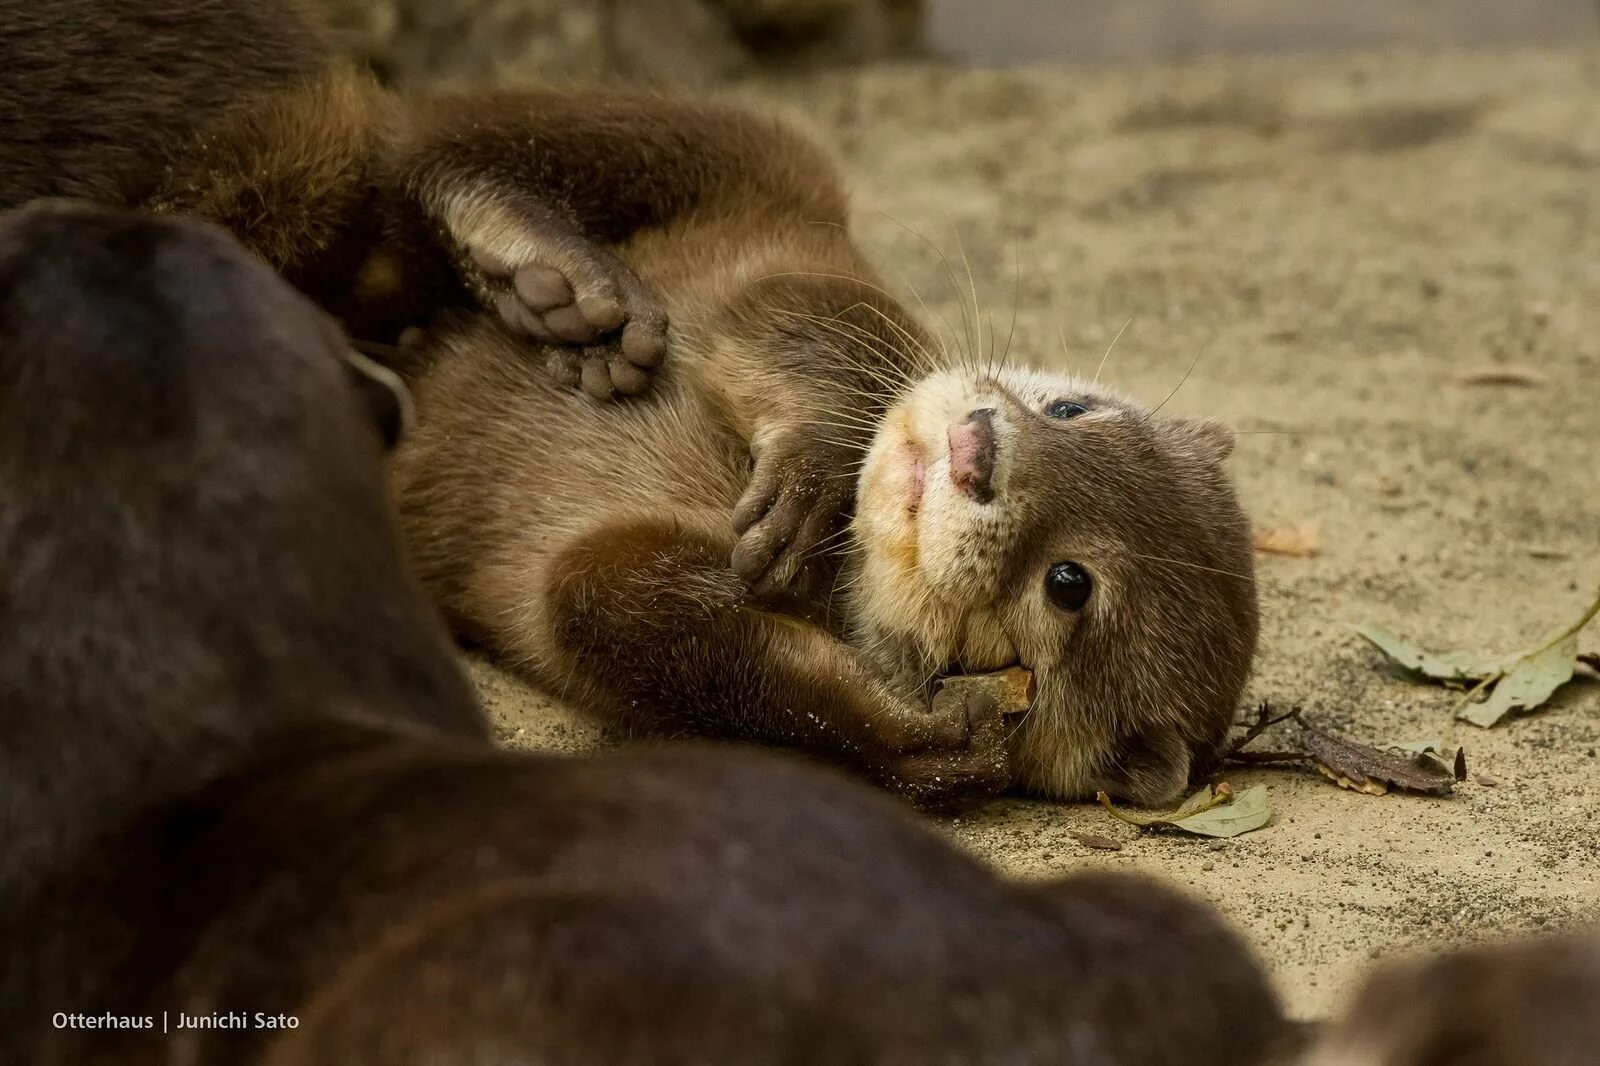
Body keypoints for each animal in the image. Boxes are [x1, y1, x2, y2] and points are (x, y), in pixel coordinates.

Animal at [0, 201, 1286, 1062]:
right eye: (1068, 406)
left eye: (1070, 584)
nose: (979, 445)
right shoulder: (768, 298)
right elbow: (797, 321)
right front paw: (815, 459)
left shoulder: (584, 586)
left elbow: (598, 596)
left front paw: (924, 730)